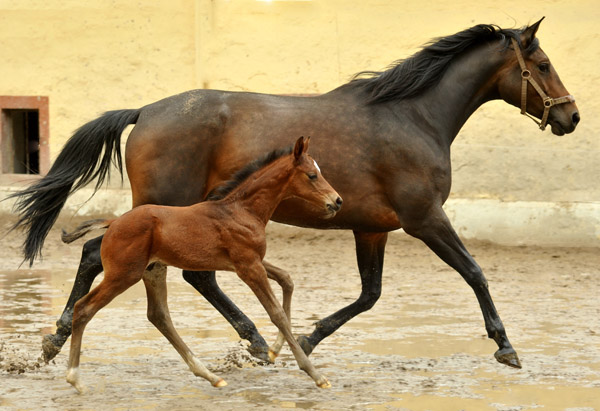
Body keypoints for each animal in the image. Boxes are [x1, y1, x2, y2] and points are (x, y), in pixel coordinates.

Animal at [62, 138, 342, 392]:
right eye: (312, 175)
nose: (337, 201)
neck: (241, 210)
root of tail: (113, 222)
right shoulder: (248, 267)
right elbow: (276, 314)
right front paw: (315, 374)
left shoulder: (249, 261)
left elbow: (287, 279)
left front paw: (274, 350)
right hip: (123, 274)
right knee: (84, 308)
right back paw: (75, 378)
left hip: (153, 271)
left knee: (159, 316)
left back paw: (210, 376)